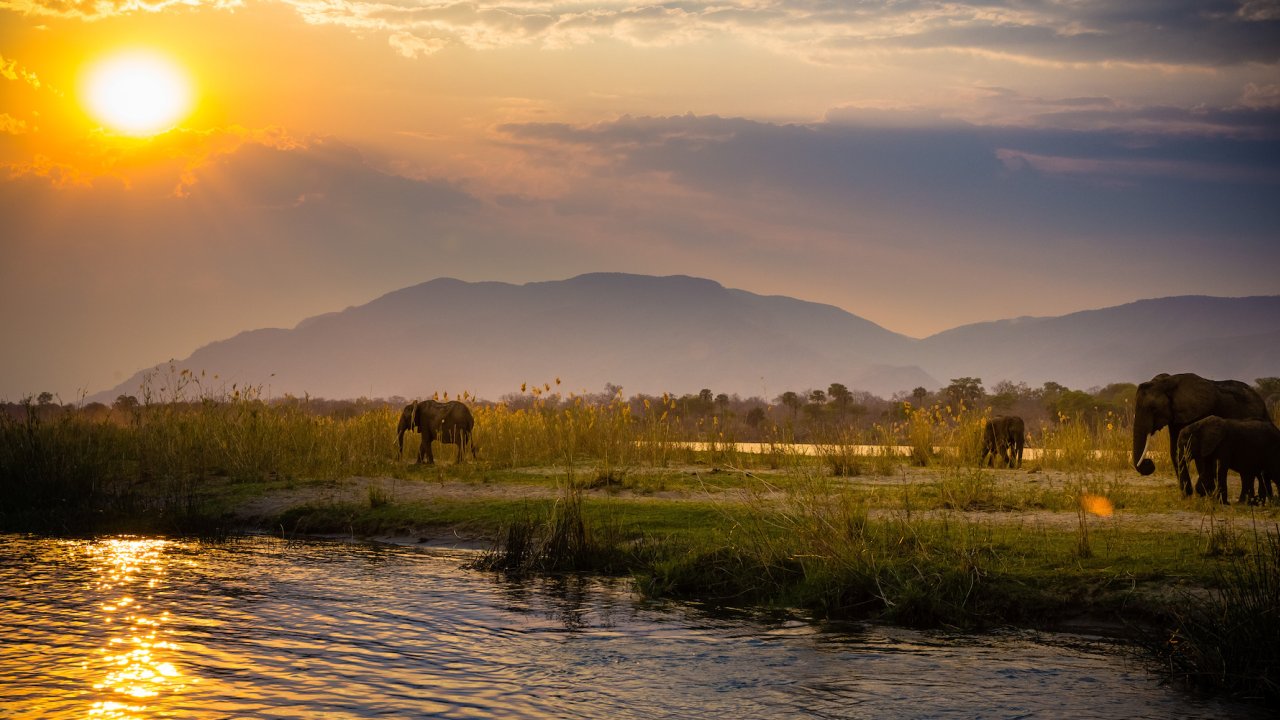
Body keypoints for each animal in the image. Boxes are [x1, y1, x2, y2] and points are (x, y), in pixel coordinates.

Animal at [1131, 373, 1269, 496]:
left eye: (1153, 409)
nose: (1149, 463)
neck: (1168, 382)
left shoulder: (1200, 413)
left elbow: (1199, 453)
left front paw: (1205, 493)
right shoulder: (1176, 417)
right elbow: (1176, 450)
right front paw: (1189, 495)